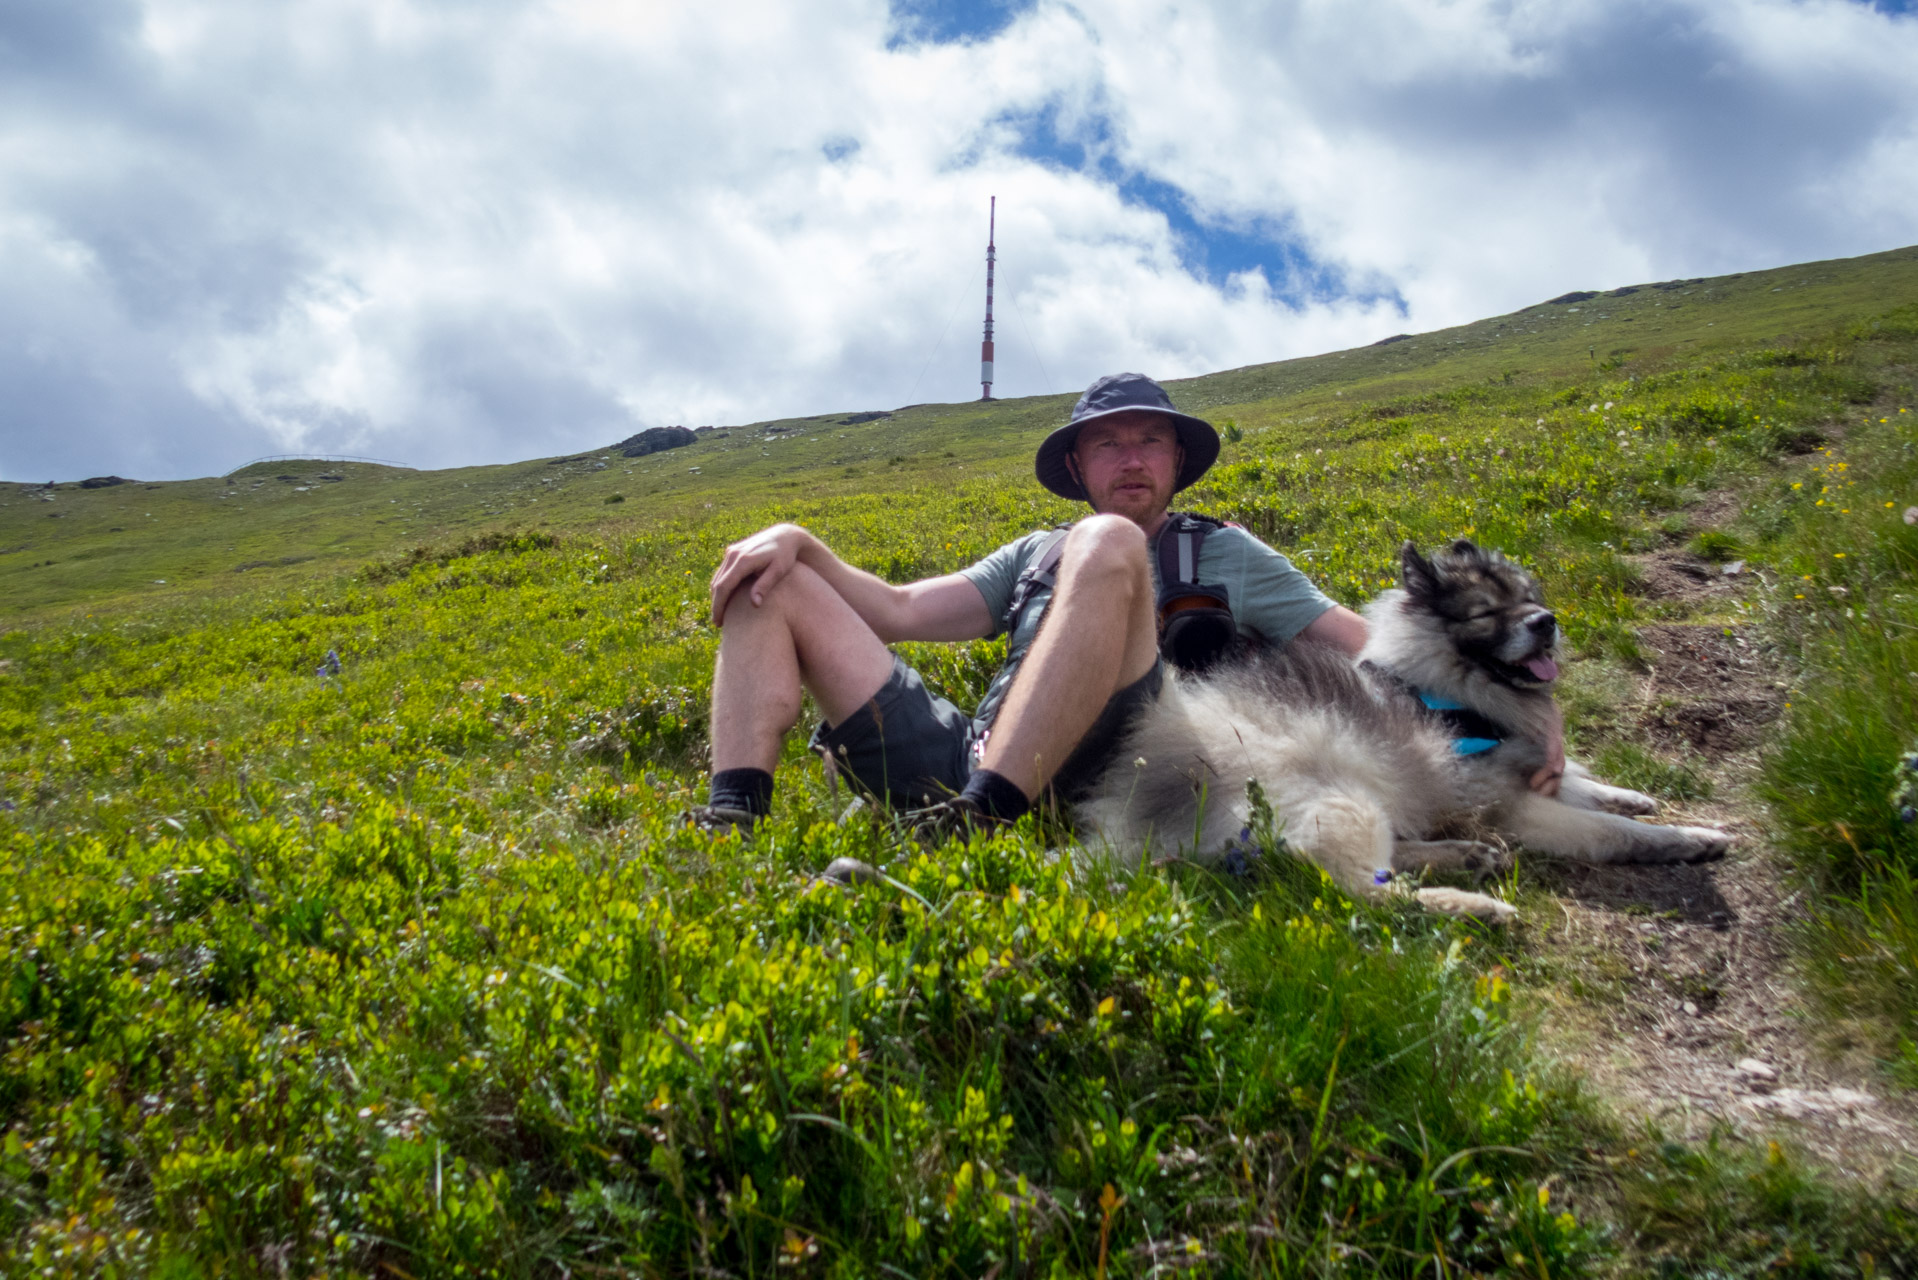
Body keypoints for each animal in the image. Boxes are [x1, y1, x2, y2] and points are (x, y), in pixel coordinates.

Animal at [1081, 537, 1741, 921]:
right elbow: (1611, 832)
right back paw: (1473, 904)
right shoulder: (1510, 804)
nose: (1547, 622)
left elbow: (1590, 787)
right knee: (1365, 889)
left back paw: (1465, 855)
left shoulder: (1527, 769)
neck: (1458, 689)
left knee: (1386, 858)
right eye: (1485, 613)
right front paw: (1688, 838)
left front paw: (1635, 797)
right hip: (1342, 796)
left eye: (1531, 597)